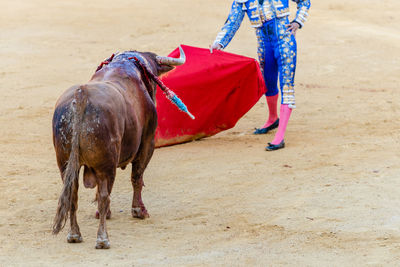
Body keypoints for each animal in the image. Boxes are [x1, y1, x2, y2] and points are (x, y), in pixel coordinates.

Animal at [51, 47, 186, 249]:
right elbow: (137, 177)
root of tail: (81, 95)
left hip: (65, 163)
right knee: (104, 195)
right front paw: (139, 211)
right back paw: (102, 239)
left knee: (73, 195)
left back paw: (74, 235)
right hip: (106, 164)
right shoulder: (147, 144)